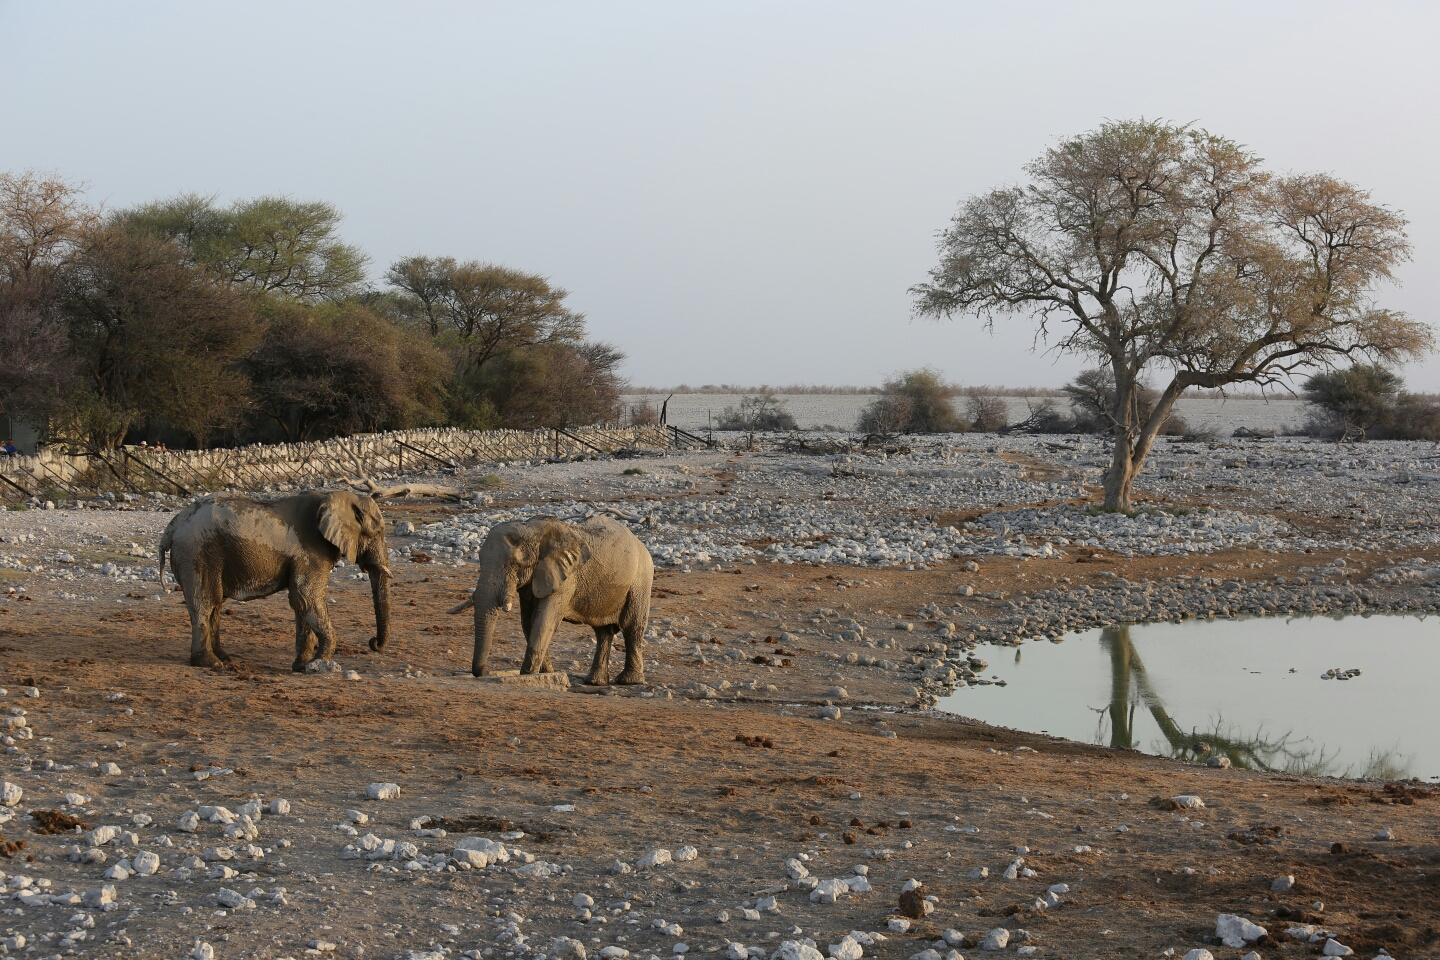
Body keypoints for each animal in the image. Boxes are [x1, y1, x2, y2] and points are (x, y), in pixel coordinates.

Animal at [159, 492, 388, 673]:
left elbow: (302, 602)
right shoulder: (312, 552)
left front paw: (302, 666)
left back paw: (225, 658)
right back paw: (211, 664)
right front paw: (317, 664)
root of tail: (172, 526)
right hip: (196, 552)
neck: (338, 497)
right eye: (377, 533)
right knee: (204, 603)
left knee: (214, 604)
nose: (373, 643)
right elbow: (306, 597)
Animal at [449, 518, 653, 682]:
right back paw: (594, 681)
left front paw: (528, 675)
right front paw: (544, 673)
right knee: (603, 633)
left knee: (632, 628)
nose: (481, 673)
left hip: (640, 582)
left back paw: (629, 681)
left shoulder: (566, 578)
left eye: (514, 564)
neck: (533, 530)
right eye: (480, 559)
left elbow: (543, 621)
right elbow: (528, 622)